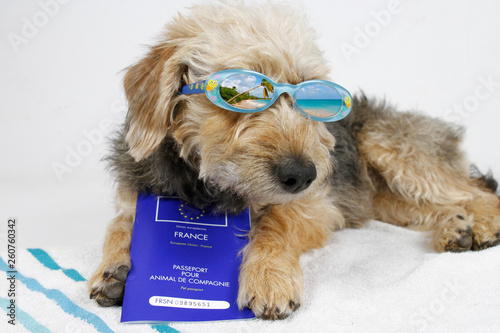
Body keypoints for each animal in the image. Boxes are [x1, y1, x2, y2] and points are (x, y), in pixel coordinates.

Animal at [90, 0, 500, 320]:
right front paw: (114, 268)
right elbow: (118, 225)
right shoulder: (135, 195)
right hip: (383, 200)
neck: (209, 189)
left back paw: (480, 225)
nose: (303, 174)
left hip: (395, 149)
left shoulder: (315, 204)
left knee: (480, 192)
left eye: (311, 94)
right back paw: (455, 228)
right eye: (237, 92)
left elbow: (278, 222)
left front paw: (268, 276)